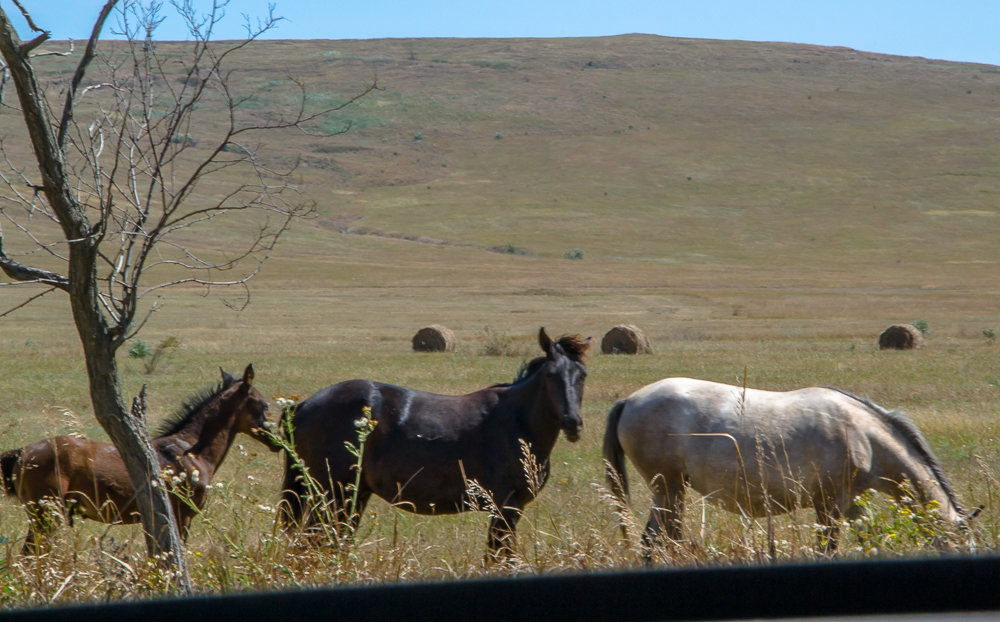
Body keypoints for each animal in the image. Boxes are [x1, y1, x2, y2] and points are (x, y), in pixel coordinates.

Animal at [0, 364, 278, 552]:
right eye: (263, 403)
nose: (276, 442)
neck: (190, 451)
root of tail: (23, 452)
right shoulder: (183, 516)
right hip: (45, 515)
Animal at [278, 330, 588, 560]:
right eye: (550, 375)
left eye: (582, 375)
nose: (572, 423)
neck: (517, 422)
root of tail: (302, 406)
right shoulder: (506, 508)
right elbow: (498, 559)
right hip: (332, 495)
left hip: (351, 495)